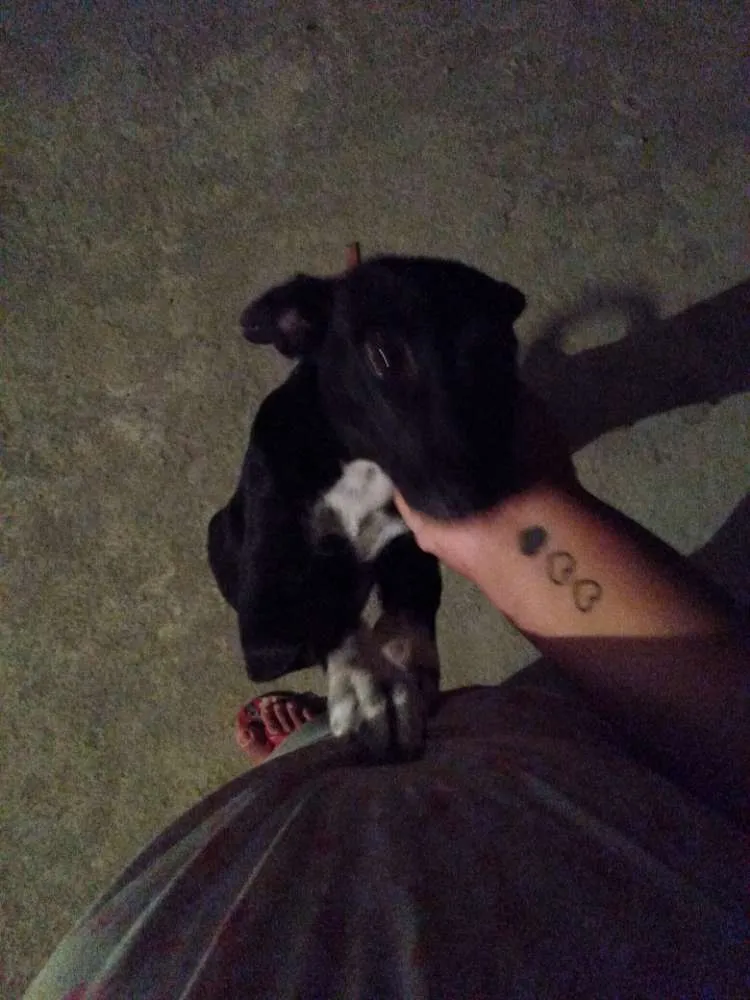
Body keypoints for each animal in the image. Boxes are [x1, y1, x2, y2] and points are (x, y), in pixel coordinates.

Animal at [208, 256, 525, 757]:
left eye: (502, 350)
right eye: (383, 355)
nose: (483, 498)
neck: (359, 469)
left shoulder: (412, 545)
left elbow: (409, 604)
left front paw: (404, 669)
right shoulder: (266, 629)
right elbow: (326, 608)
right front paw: (368, 687)